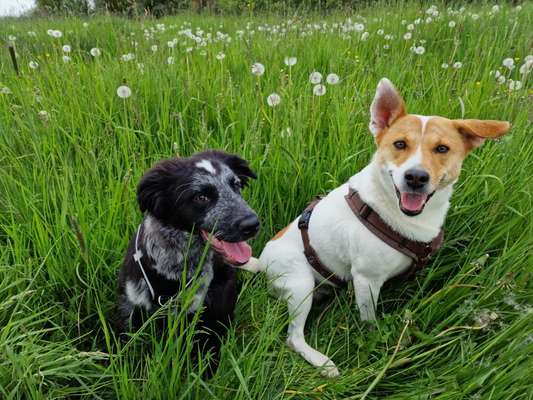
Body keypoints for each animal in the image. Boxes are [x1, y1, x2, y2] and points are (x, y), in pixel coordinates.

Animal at [239, 77, 510, 376]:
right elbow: (369, 320)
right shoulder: (366, 280)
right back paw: (321, 361)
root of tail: (263, 263)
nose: (416, 177)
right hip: (300, 284)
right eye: (400, 144)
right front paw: (374, 338)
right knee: (293, 338)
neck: (395, 212)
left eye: (442, 149)